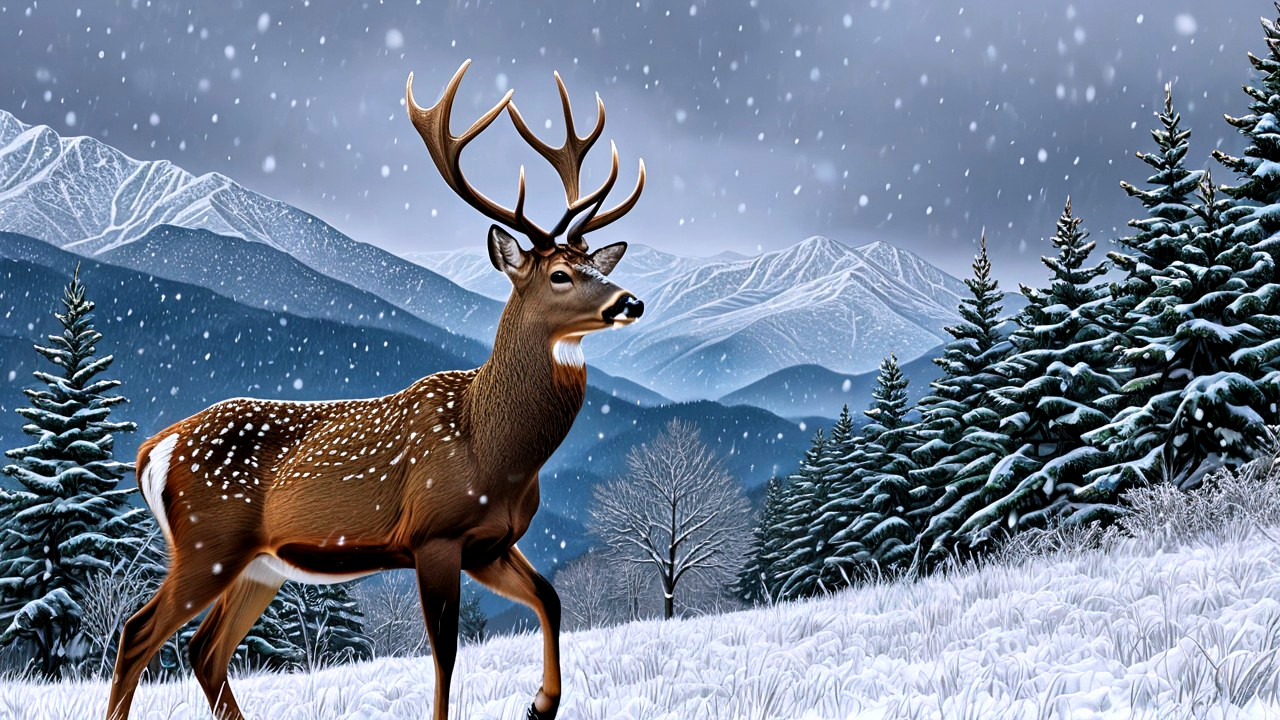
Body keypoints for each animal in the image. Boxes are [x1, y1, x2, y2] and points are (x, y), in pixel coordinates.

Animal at [106, 59, 645, 720]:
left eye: (600, 265)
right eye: (561, 274)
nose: (630, 301)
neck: (493, 449)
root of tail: (151, 449)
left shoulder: (489, 543)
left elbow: (549, 595)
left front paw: (541, 703)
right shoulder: (434, 532)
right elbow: (445, 652)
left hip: (261, 564)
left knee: (205, 649)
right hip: (210, 541)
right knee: (138, 633)